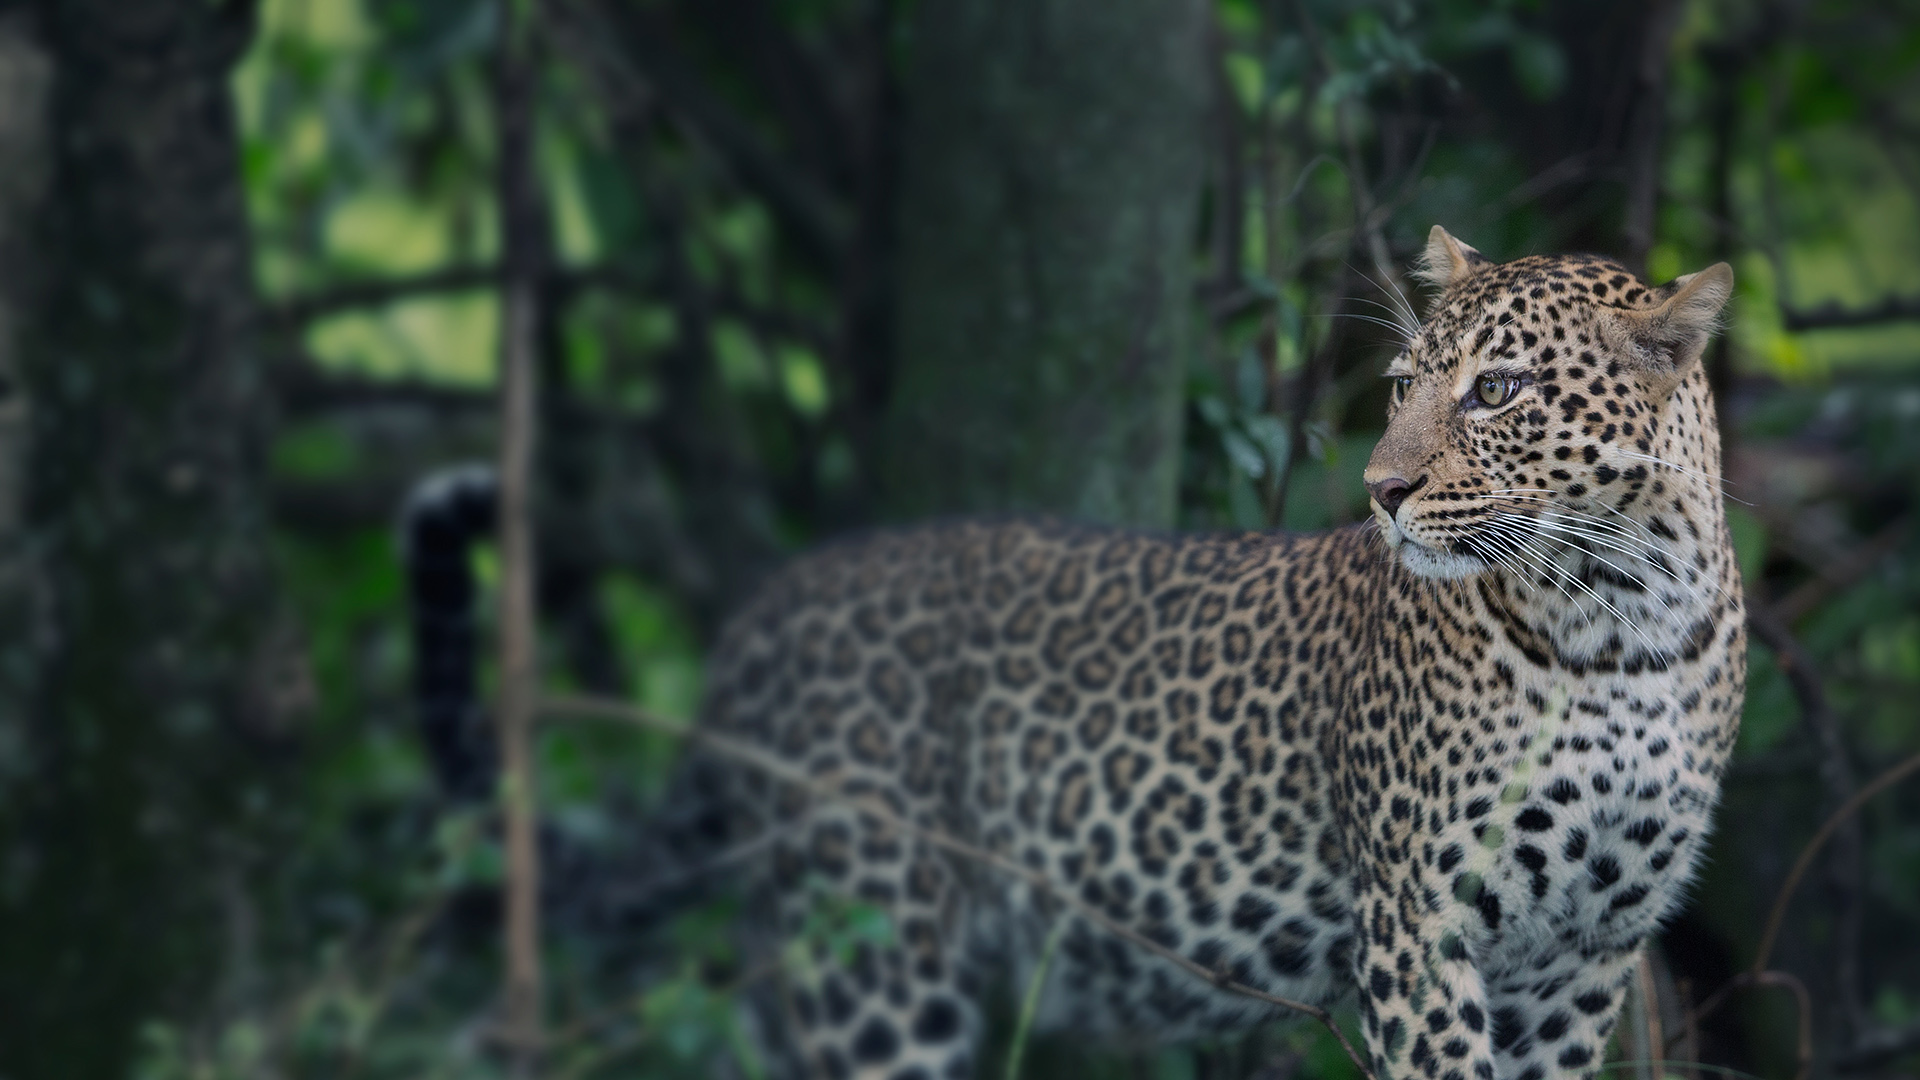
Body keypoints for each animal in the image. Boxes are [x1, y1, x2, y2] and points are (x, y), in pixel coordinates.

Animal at [652, 222, 1751, 1068]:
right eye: (1405, 386)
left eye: (1499, 391)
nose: (1381, 490)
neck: (1621, 621)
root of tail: (769, 605)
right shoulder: (1420, 926)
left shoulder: (1586, 953)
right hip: (871, 949)